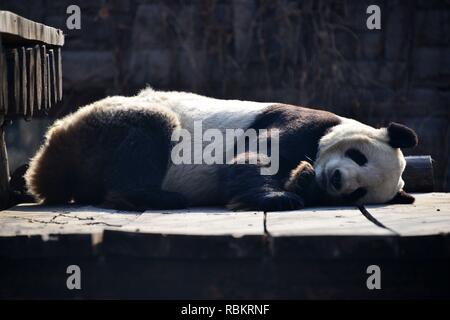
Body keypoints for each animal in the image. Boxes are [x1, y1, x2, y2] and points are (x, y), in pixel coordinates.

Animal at [24, 89, 418, 211]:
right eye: (358, 156)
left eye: (359, 192)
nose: (336, 179)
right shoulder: (300, 122)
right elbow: (256, 158)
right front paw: (279, 196)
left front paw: (302, 180)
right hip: (101, 126)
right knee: (152, 128)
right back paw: (155, 196)